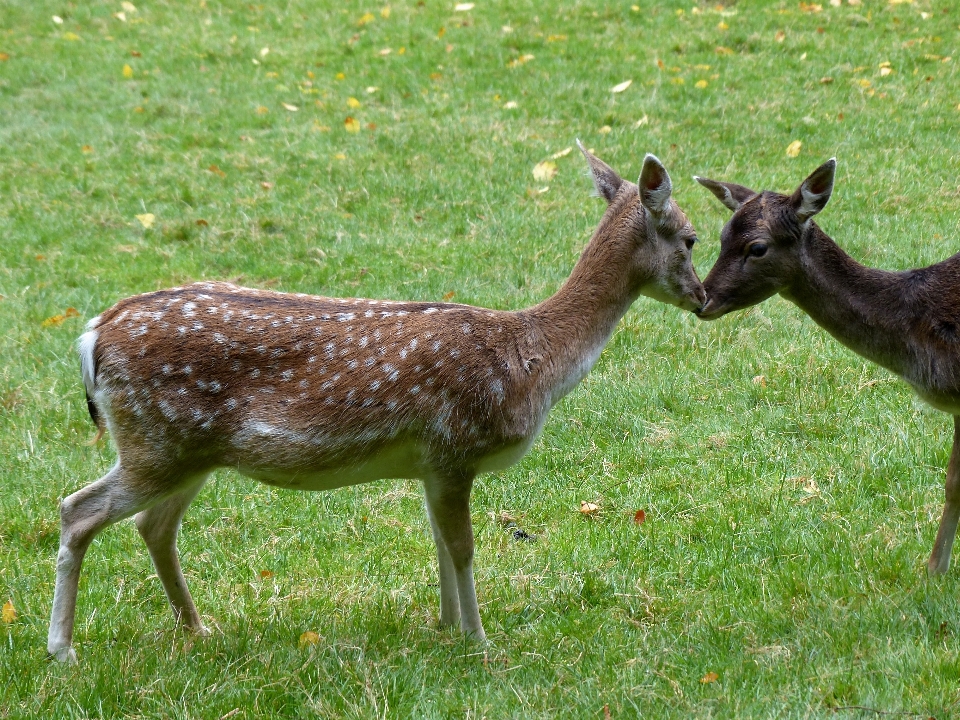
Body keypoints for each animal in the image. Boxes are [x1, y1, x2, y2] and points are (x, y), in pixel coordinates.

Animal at [47, 143, 704, 668]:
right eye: (693, 237)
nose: (702, 298)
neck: (531, 362)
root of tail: (91, 338)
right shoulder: (455, 446)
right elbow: (463, 547)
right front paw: (479, 641)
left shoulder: (430, 465)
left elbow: (439, 544)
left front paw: (445, 628)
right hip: (158, 442)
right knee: (77, 510)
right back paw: (64, 651)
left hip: (187, 451)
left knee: (152, 525)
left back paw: (199, 629)